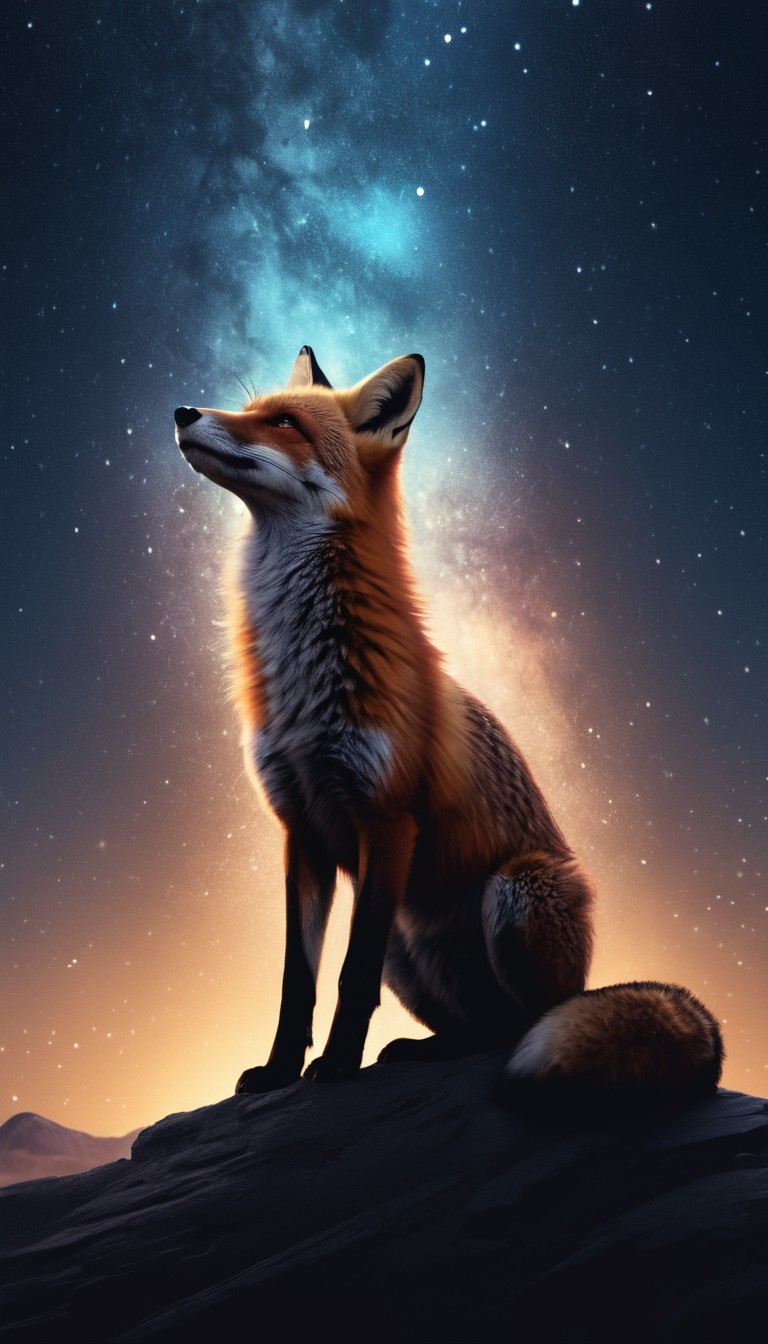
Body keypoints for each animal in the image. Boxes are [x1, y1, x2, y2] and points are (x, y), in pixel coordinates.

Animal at [173, 346, 723, 1117]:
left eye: (283, 422)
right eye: (250, 408)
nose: (183, 412)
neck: (306, 683)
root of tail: (582, 982)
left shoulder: (387, 817)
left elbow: (347, 977)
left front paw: (337, 1068)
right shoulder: (301, 830)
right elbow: (297, 981)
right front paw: (280, 1072)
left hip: (517, 890)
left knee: (522, 1026)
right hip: (407, 941)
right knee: (475, 1028)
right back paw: (424, 1049)